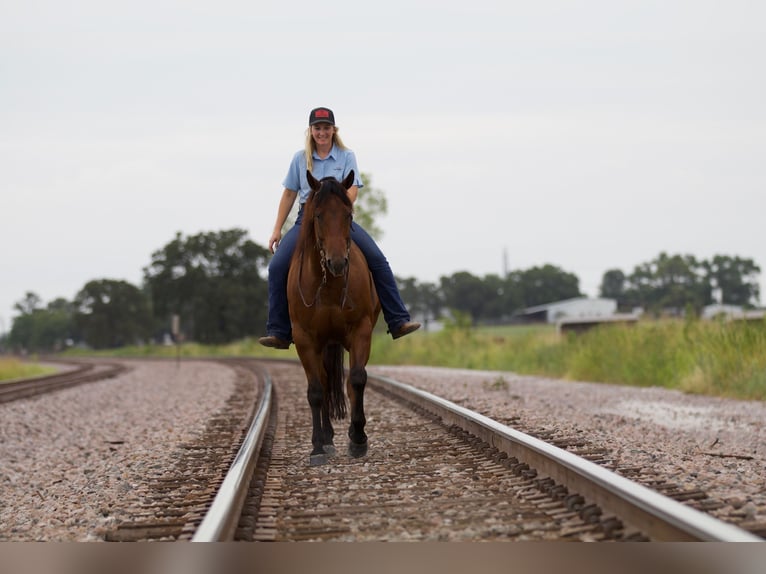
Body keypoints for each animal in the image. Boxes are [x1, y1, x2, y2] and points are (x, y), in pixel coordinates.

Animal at [286, 171, 382, 468]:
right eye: (318, 215)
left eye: (349, 215)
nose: (337, 262)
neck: (327, 286)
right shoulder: (305, 340)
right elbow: (316, 391)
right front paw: (317, 447)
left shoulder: (361, 331)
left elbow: (357, 379)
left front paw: (358, 438)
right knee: (325, 382)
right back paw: (326, 439)